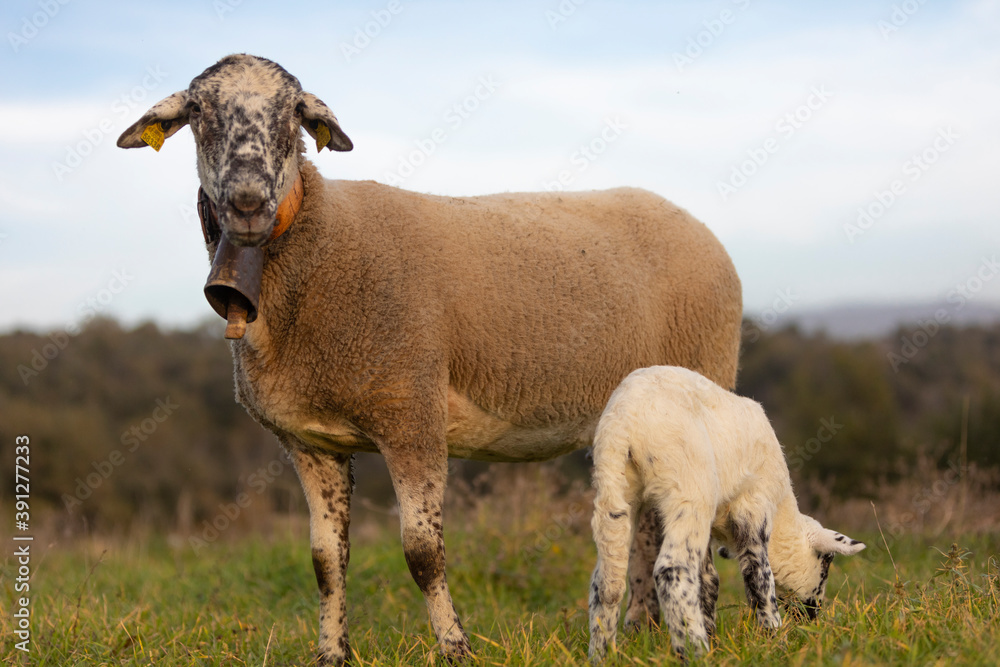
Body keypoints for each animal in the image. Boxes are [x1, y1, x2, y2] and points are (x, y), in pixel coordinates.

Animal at [116, 54, 743, 665]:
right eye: (199, 111)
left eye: (292, 112)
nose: (247, 203)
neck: (317, 246)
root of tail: (698, 226)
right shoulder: (310, 442)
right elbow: (325, 560)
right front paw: (332, 653)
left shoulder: (412, 416)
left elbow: (422, 553)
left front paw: (456, 648)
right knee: (647, 530)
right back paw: (641, 630)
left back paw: (700, 633)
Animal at [587, 365, 865, 662]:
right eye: (827, 562)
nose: (812, 617)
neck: (782, 510)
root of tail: (623, 423)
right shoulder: (754, 506)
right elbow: (759, 579)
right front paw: (774, 640)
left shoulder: (709, 530)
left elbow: (708, 582)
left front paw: (715, 634)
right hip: (688, 488)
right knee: (672, 570)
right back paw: (695, 652)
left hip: (616, 491)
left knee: (606, 583)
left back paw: (601, 656)